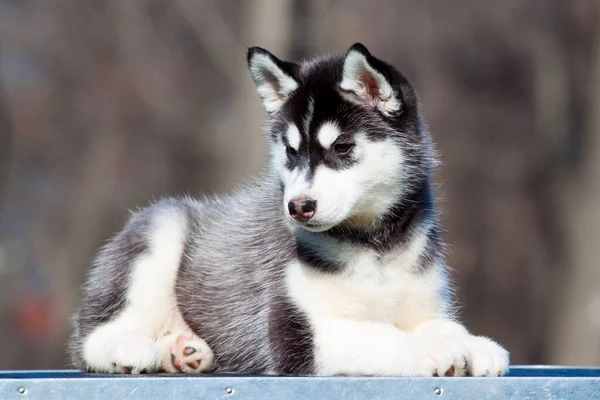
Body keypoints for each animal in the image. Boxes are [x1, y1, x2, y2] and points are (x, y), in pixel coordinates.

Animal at [70, 44, 510, 378]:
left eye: (343, 148)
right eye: (291, 152)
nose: (298, 207)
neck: (374, 246)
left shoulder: (423, 300)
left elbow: (442, 324)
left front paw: (475, 345)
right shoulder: (298, 335)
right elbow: (380, 336)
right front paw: (432, 350)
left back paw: (182, 351)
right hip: (159, 234)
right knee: (91, 339)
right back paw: (130, 349)